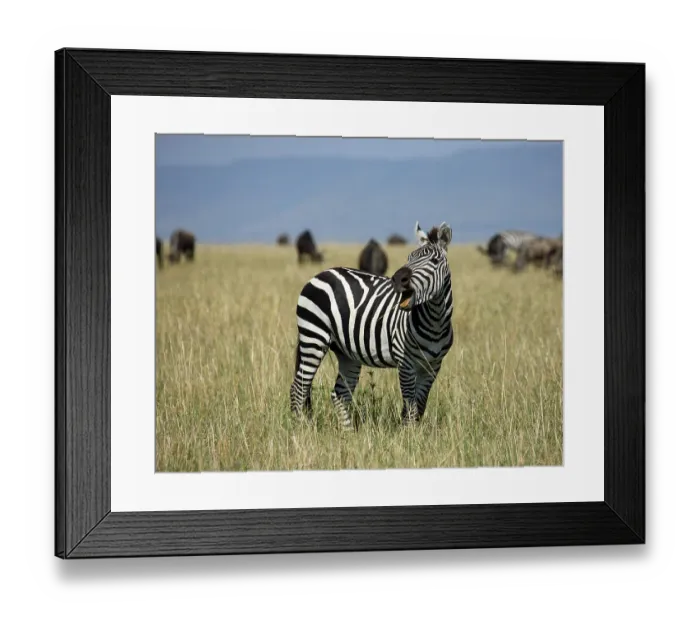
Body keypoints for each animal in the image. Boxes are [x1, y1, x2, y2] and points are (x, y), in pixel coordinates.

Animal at [289, 221, 454, 430]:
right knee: (299, 388)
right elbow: (409, 406)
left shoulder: (433, 366)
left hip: (347, 353)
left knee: (339, 395)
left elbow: (420, 406)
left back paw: (348, 433)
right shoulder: (405, 362)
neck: (435, 323)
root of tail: (320, 274)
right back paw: (302, 429)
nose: (398, 278)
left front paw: (415, 433)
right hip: (313, 336)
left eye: (434, 261)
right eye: (409, 258)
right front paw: (408, 435)